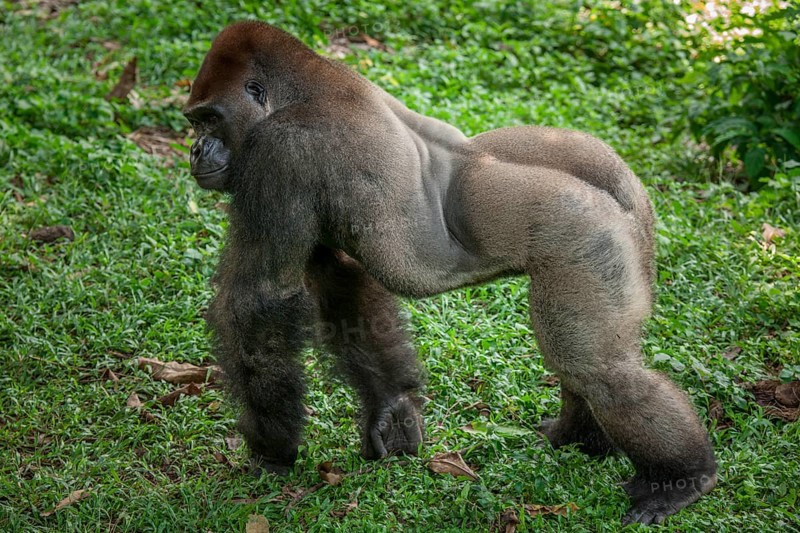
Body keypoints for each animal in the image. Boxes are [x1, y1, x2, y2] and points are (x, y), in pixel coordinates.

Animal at [182, 21, 716, 525]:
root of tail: (620, 184)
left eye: (209, 119)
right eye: (196, 122)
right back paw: (581, 436)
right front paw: (391, 410)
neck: (302, 87)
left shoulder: (277, 155)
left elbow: (260, 303)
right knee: (585, 366)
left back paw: (682, 477)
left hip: (584, 233)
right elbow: (343, 281)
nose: (195, 151)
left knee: (599, 369)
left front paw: (271, 450)